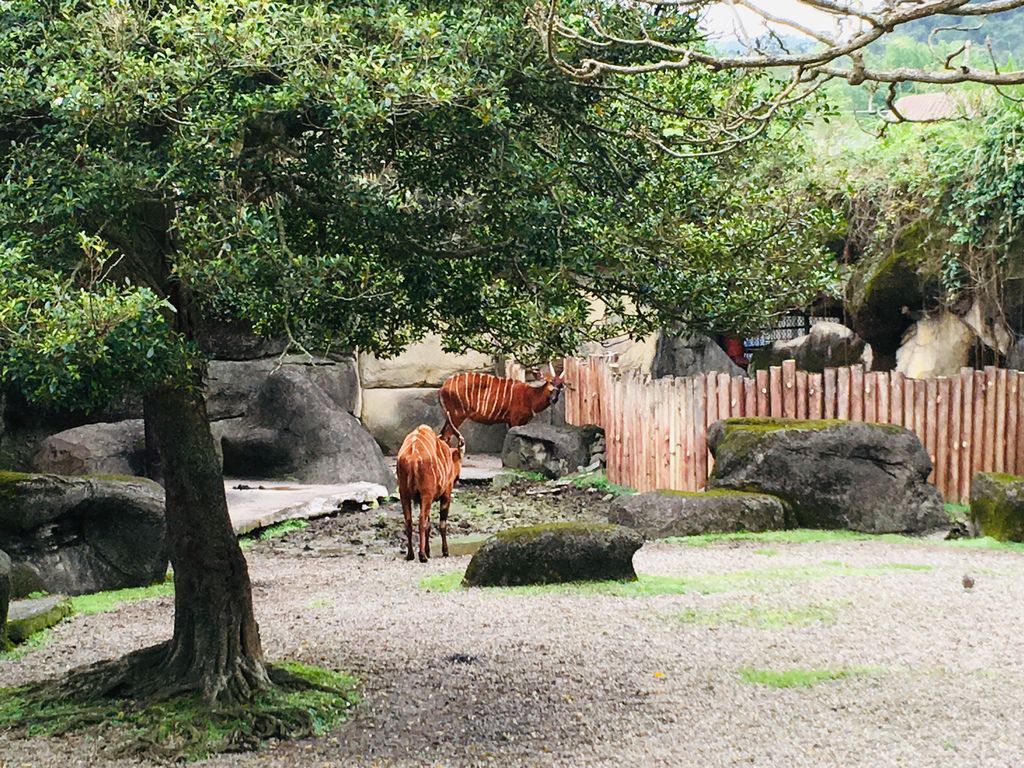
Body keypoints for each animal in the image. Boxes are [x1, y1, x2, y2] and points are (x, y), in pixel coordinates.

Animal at [395, 423, 468, 561]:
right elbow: (441, 524)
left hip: (404, 494)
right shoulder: (446, 494)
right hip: (426, 495)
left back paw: (410, 555)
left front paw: (429, 551)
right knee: (421, 520)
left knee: (409, 521)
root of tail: (412, 457)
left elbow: (428, 525)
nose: (458, 477)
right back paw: (422, 556)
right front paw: (445, 551)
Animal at [440, 368, 569, 442]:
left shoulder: (521, 421)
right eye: (550, 382)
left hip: (450, 416)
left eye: (561, 385)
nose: (554, 399)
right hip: (457, 415)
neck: (530, 396)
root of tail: (443, 387)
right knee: (446, 436)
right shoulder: (515, 419)